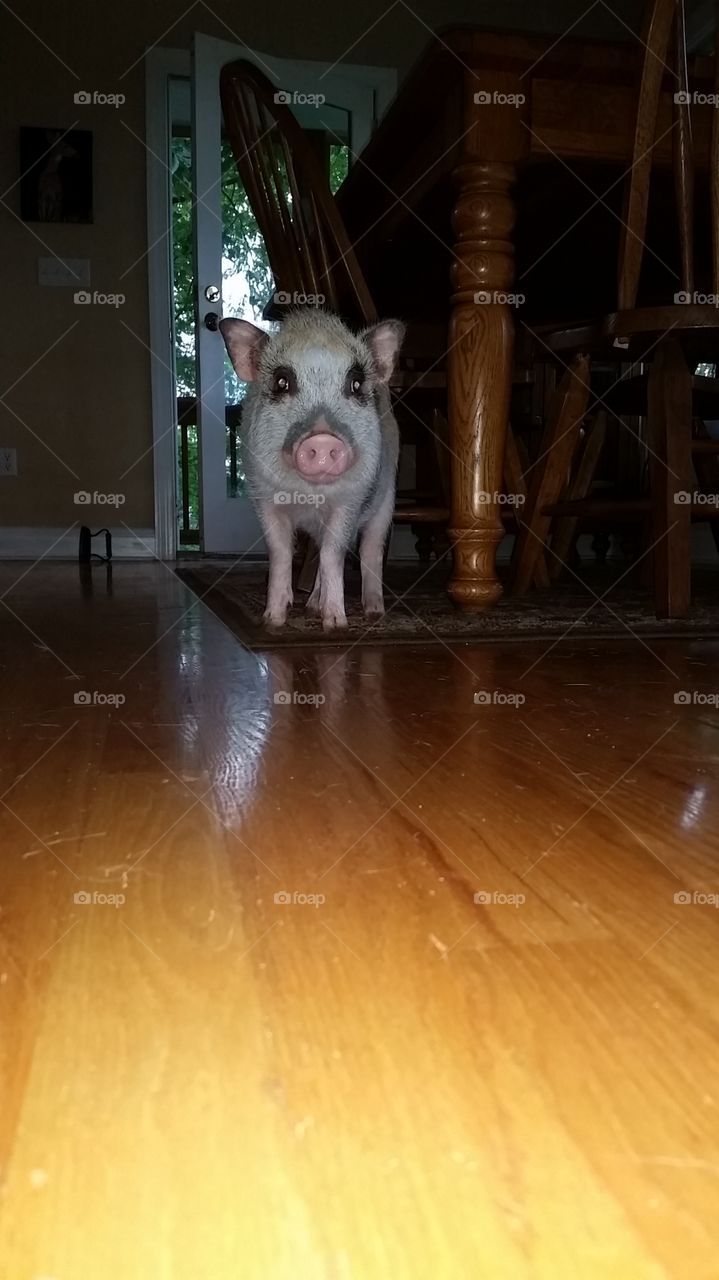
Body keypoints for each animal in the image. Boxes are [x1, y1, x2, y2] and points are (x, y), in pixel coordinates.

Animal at [219, 310, 404, 631]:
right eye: (282, 382)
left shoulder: (350, 501)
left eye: (356, 384)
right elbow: (280, 552)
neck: (309, 497)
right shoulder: (263, 498)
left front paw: (336, 625)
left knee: (370, 549)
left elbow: (334, 554)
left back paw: (373, 612)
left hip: (386, 499)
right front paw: (273, 621)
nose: (322, 438)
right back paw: (311, 606)